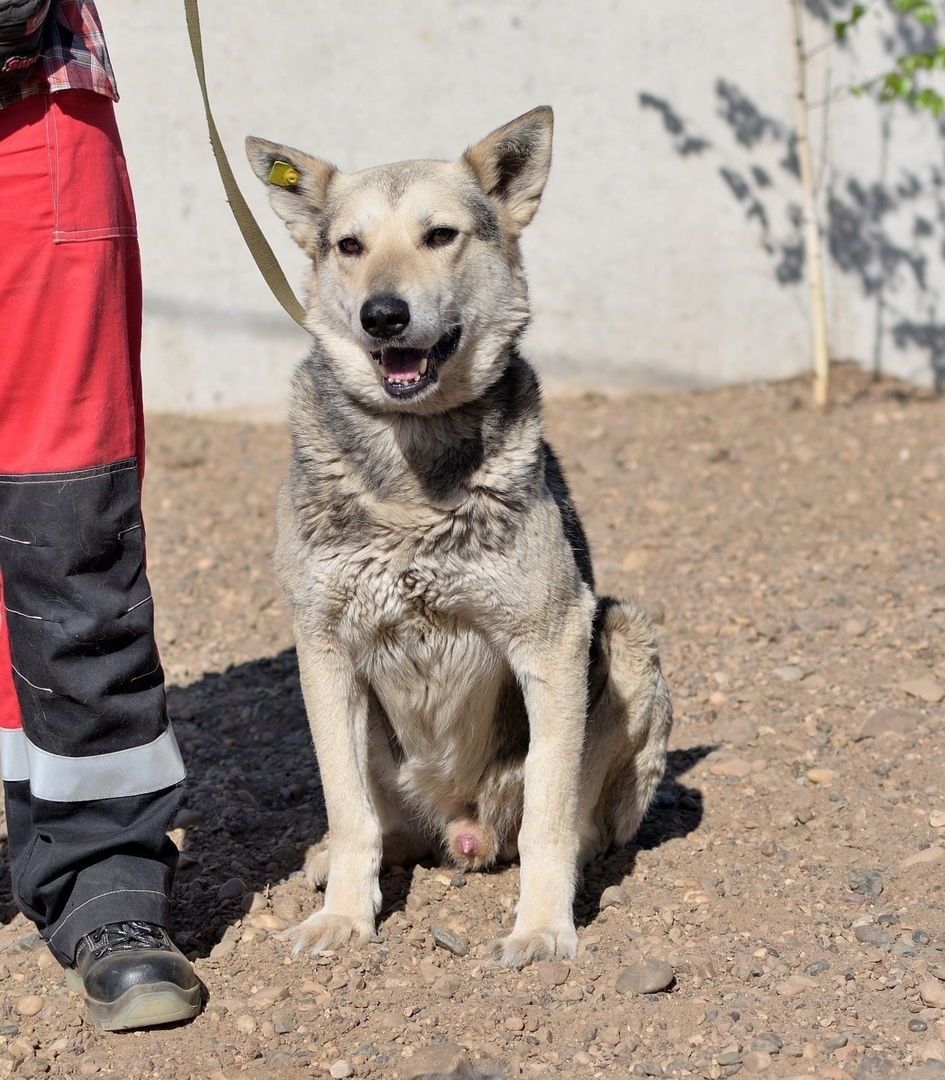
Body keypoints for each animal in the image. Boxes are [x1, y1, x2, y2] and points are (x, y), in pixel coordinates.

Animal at [244, 107, 673, 972]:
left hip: (621, 635)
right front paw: (344, 918)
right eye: (349, 246)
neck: (411, 467)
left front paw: (541, 928)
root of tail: (459, 825)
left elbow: (548, 818)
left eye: (439, 235)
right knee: (380, 825)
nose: (382, 314)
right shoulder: (322, 648)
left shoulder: (552, 638)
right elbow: (348, 813)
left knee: (572, 823)